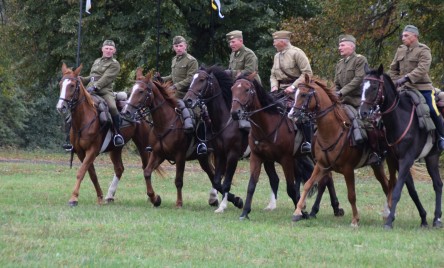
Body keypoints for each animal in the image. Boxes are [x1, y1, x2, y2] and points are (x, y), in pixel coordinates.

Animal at [55, 63, 153, 206]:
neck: (84, 119)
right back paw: (110, 196)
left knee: (146, 167)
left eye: (72, 85)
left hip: (142, 145)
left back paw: (150, 197)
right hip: (115, 149)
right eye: (61, 84)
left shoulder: (92, 150)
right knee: (119, 168)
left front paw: (73, 198)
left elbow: (81, 172)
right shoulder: (80, 152)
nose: (60, 107)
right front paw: (100, 196)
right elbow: (91, 174)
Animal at [120, 68, 225, 208]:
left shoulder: (180, 156)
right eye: (132, 90)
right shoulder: (158, 154)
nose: (126, 112)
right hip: (203, 158)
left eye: (141, 91)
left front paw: (179, 203)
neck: (165, 123)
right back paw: (214, 199)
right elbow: (147, 172)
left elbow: (178, 180)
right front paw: (155, 198)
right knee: (212, 174)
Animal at [229, 72, 344, 221]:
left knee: (325, 180)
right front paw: (245, 213)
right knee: (327, 179)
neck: (268, 125)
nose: (235, 113)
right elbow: (251, 185)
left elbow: (290, 188)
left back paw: (317, 210)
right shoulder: (257, 157)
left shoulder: (286, 159)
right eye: (232, 89)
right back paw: (332, 208)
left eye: (247, 90)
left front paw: (301, 212)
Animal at [286, 73, 394, 226]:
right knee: (385, 184)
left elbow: (351, 195)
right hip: (376, 165)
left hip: (378, 163)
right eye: (295, 94)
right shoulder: (321, 166)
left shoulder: (348, 170)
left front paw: (355, 219)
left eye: (304, 94)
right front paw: (297, 212)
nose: (291, 114)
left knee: (387, 185)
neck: (332, 131)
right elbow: (308, 184)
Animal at [360, 65, 442, 228]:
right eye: (362, 86)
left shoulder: (407, 159)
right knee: (438, 184)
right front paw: (423, 218)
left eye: (374, 86)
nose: (363, 112)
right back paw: (436, 219)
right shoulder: (396, 160)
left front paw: (389, 221)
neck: (400, 118)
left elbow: (397, 190)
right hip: (431, 157)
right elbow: (411, 189)